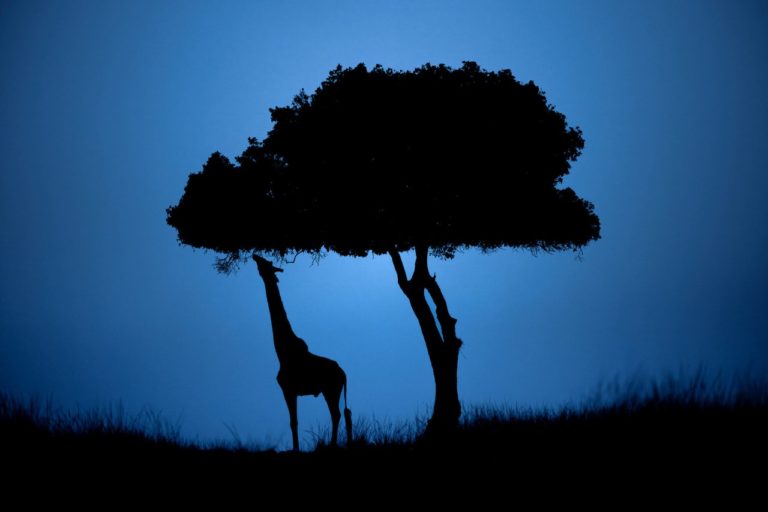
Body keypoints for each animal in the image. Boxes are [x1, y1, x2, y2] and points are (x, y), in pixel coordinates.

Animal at [253, 254, 352, 451]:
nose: (255, 256)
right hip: (332, 390)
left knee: (336, 414)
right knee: (343, 414)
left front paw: (296, 448)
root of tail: (343, 373)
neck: (283, 351)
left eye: (266, 263)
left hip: (331, 389)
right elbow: (294, 421)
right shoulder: (291, 391)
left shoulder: (288, 389)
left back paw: (332, 444)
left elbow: (293, 422)